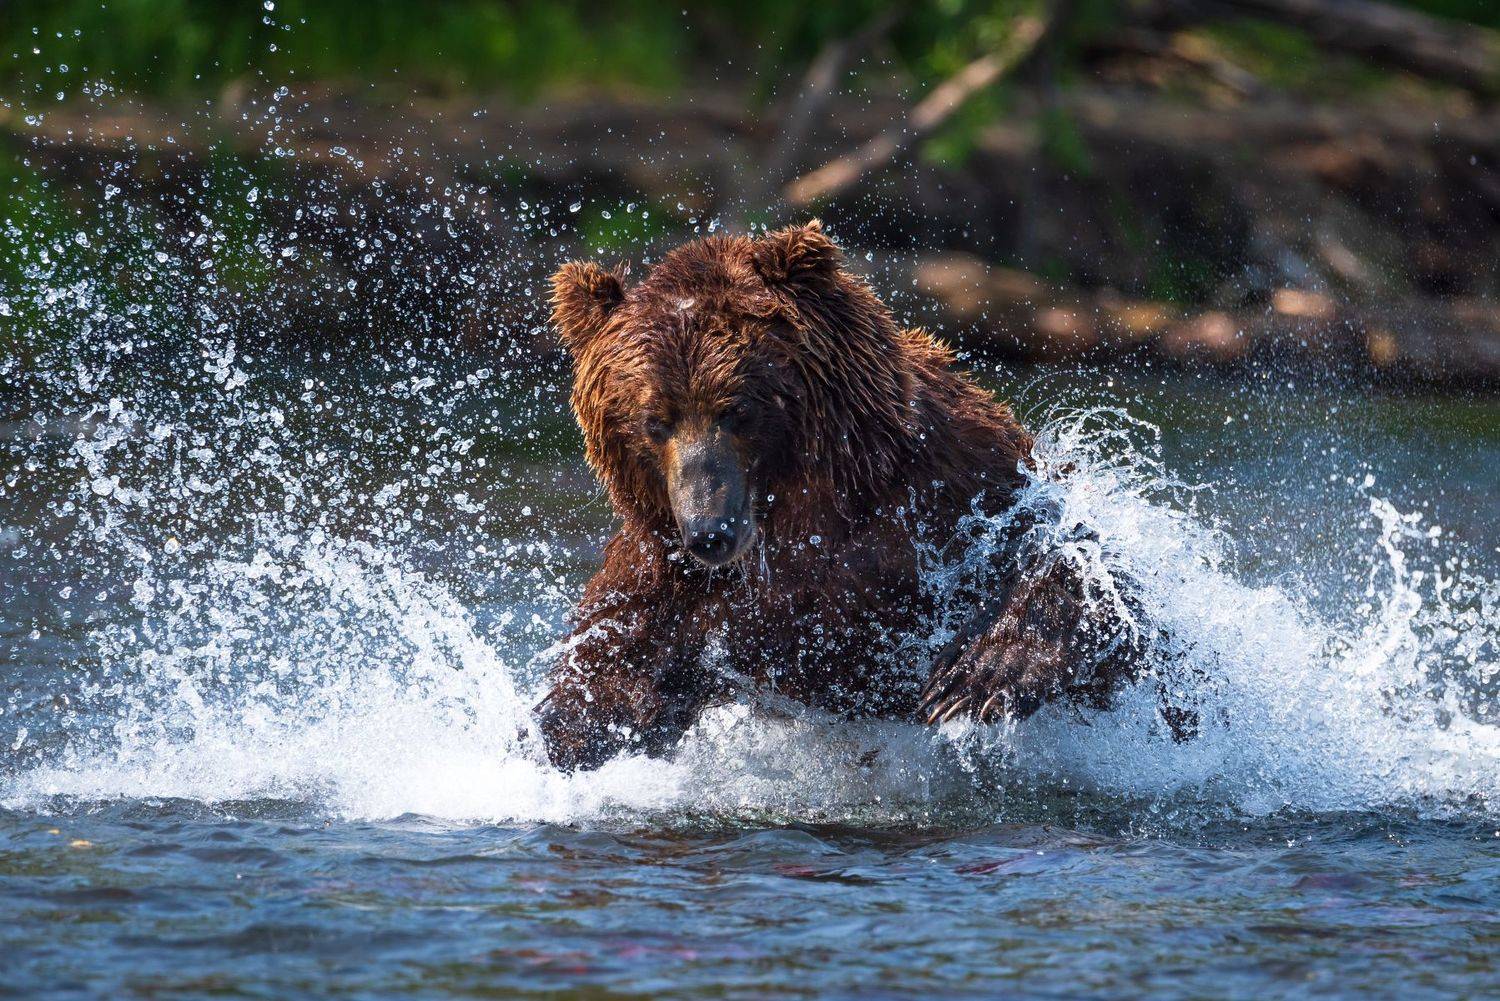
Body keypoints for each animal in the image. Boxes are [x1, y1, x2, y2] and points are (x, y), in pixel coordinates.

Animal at [534, 220, 1159, 772]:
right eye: (654, 421)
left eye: (735, 409)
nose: (710, 530)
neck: (804, 515)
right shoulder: (664, 574)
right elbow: (607, 671)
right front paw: (570, 736)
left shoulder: (952, 488)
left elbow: (1087, 567)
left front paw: (971, 679)